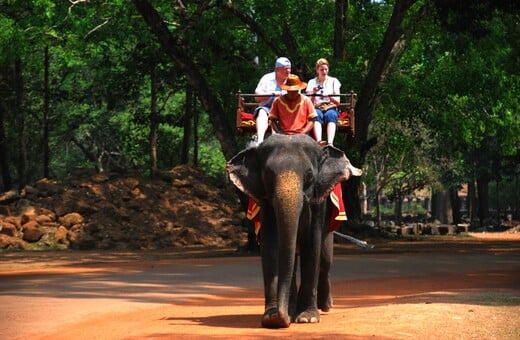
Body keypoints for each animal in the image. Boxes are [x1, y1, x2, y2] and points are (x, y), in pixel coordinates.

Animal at [228, 132, 362, 326]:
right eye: (268, 175)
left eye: (309, 175)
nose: (281, 317)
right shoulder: (266, 203)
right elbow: (271, 245)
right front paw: (271, 317)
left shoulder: (318, 203)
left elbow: (312, 246)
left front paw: (308, 318)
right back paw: (292, 309)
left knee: (325, 260)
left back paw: (325, 306)